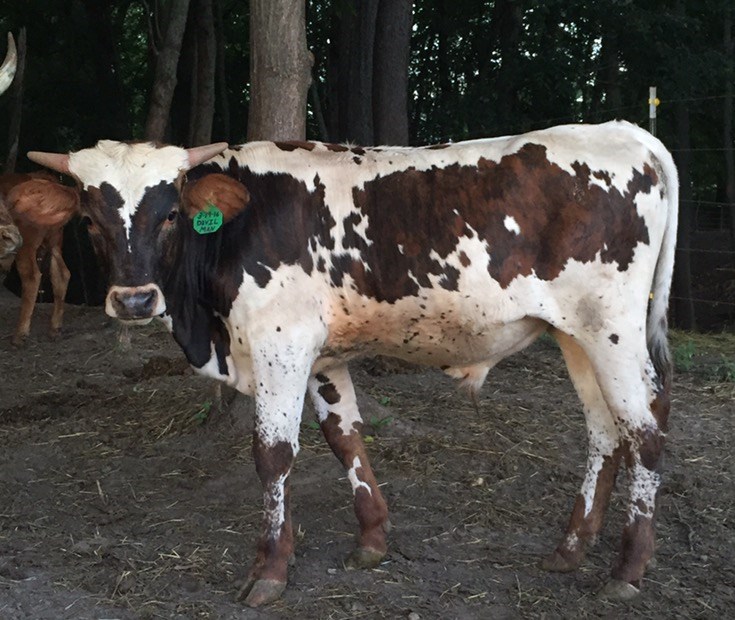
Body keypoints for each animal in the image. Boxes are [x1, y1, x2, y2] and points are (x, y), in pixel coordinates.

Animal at [27, 120, 678, 606]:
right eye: (89, 220)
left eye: (169, 214)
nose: (134, 300)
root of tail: (622, 131)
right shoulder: (319, 354)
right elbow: (346, 439)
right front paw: (372, 538)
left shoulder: (281, 343)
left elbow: (273, 457)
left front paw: (270, 570)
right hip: (576, 335)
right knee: (604, 430)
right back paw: (570, 549)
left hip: (612, 329)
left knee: (645, 429)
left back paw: (628, 569)